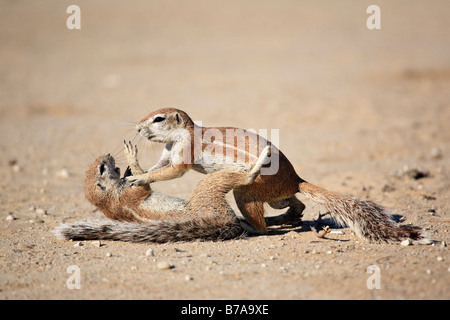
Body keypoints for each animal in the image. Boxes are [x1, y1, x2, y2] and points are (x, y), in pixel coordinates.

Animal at [53, 144, 282, 241]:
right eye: (102, 168)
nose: (107, 154)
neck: (109, 198)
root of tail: (220, 222)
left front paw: (129, 169)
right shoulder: (128, 195)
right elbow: (144, 188)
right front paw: (132, 159)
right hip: (207, 191)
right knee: (246, 179)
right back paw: (259, 160)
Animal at [127, 107, 428, 242]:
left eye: (158, 119)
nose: (138, 128)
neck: (178, 137)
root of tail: (296, 179)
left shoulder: (183, 154)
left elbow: (171, 173)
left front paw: (139, 178)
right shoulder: (167, 154)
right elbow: (157, 168)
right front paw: (135, 168)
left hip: (249, 191)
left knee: (262, 222)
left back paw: (254, 226)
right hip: (275, 197)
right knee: (297, 205)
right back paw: (281, 219)